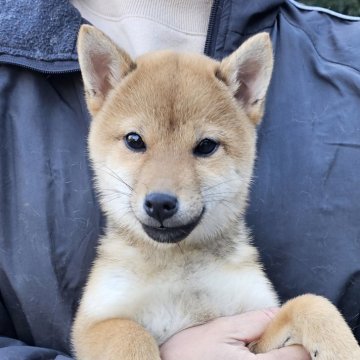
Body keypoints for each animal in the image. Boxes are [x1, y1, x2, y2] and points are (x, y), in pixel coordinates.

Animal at [71, 26, 358, 360]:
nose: (160, 203)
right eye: (134, 140)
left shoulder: (253, 320)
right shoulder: (94, 322)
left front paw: (341, 346)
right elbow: (129, 335)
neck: (180, 267)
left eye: (206, 146)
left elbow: (310, 302)